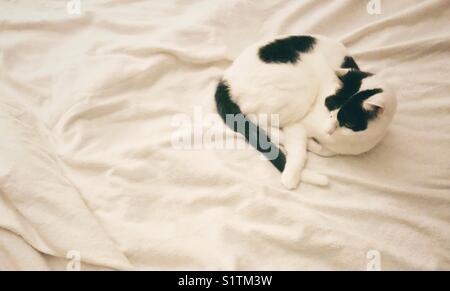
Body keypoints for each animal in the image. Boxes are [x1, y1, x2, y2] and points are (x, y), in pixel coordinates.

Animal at [216, 34, 396, 190]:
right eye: (329, 105)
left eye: (348, 122)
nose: (327, 130)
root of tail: (226, 79)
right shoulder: (298, 125)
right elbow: (299, 150)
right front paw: (291, 175)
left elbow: (327, 152)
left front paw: (314, 144)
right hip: (298, 92)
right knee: (255, 119)